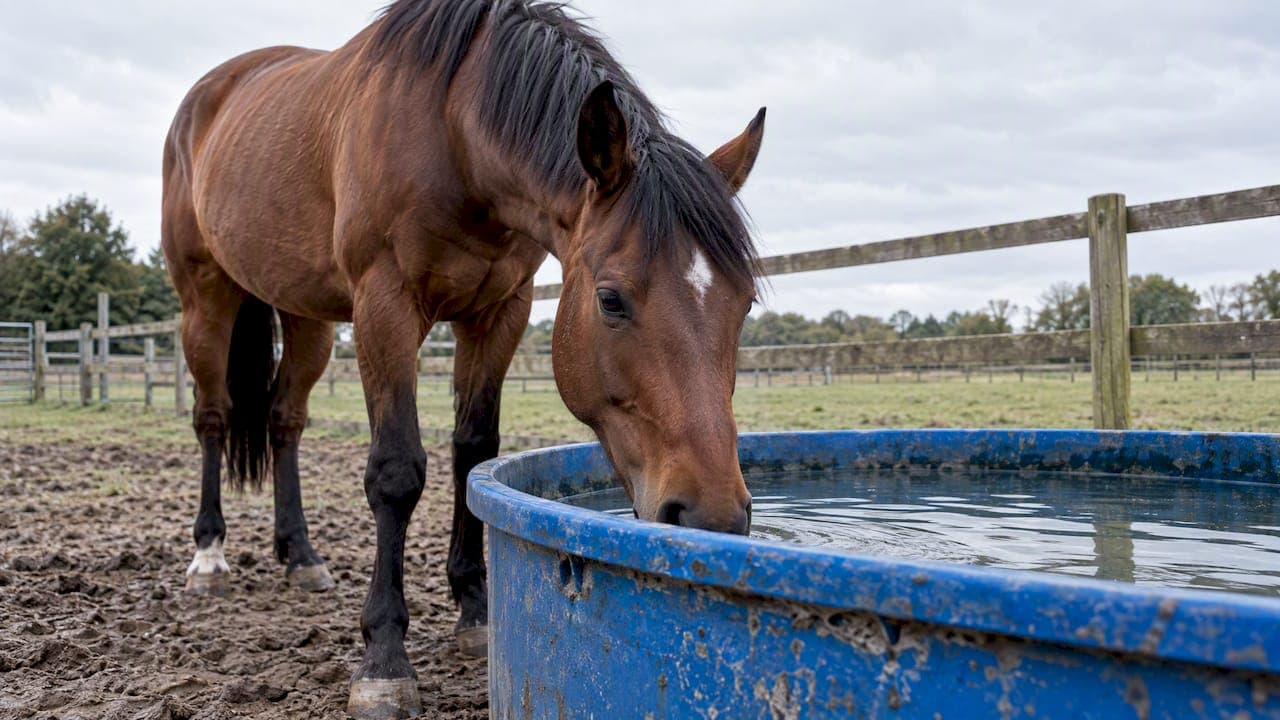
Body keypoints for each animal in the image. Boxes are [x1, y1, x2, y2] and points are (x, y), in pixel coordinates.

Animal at [162, 0, 765, 716]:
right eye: (611, 300)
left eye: (745, 303)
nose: (713, 519)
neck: (451, 129)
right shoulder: (385, 305)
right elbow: (397, 472)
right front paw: (384, 657)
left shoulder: (499, 311)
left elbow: (473, 452)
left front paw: (475, 610)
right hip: (206, 300)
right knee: (213, 418)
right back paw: (209, 556)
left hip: (306, 317)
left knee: (285, 423)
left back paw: (300, 554)